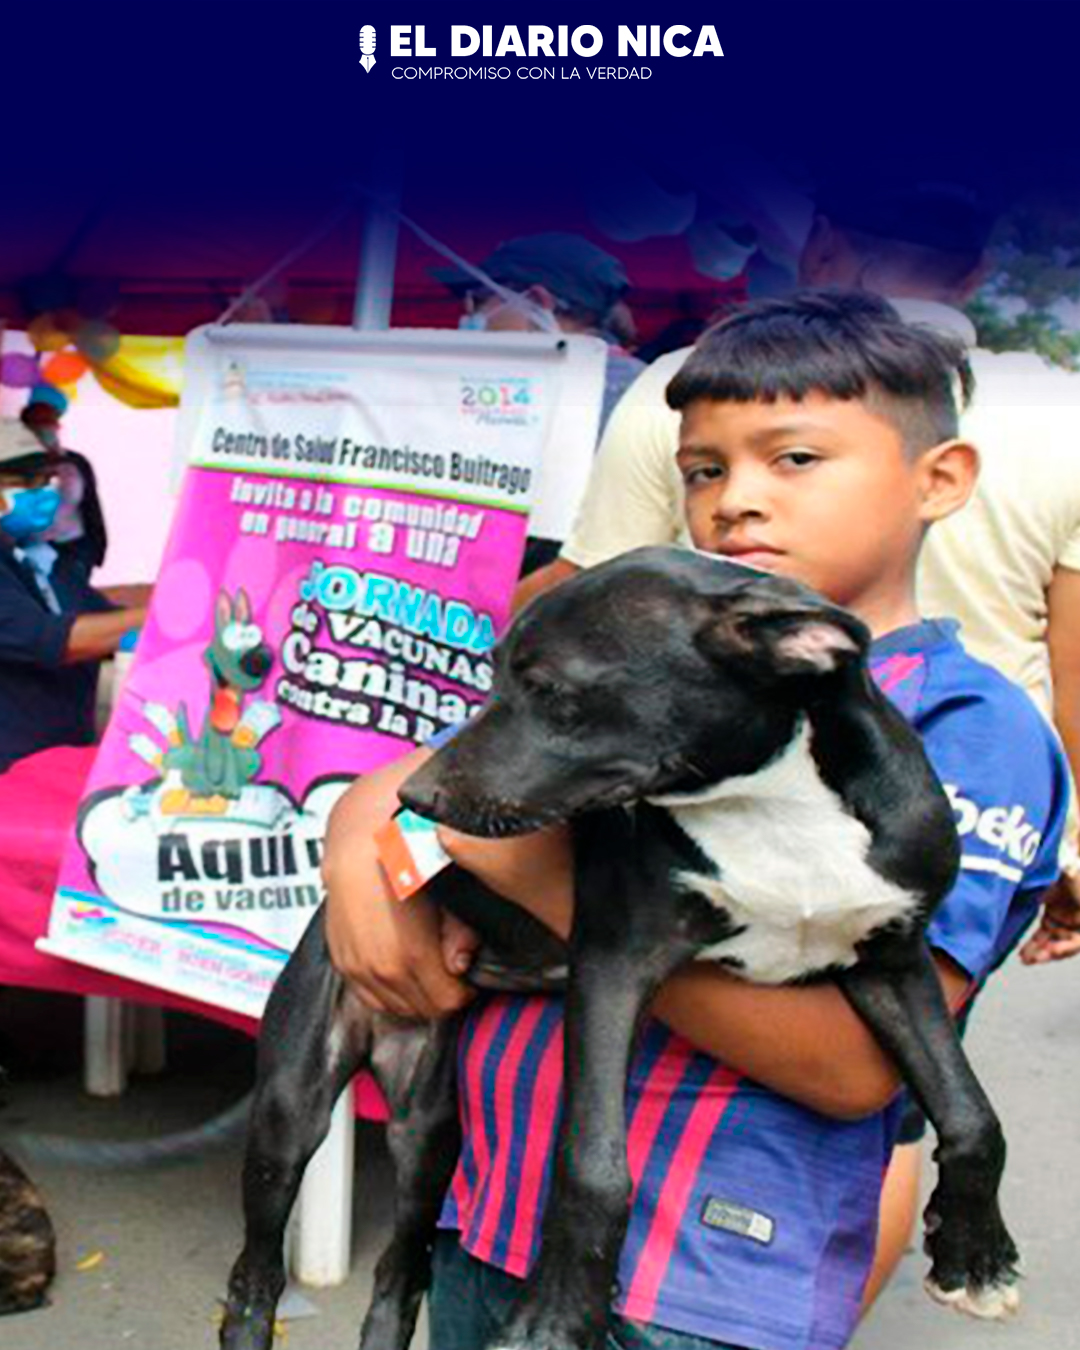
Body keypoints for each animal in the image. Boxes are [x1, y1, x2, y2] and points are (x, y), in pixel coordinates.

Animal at [221, 545, 1020, 1350]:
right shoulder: (614, 964)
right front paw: (555, 1317)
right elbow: (593, 1164)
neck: (777, 808)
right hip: (291, 1107)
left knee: (399, 1268)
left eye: (548, 688)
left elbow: (971, 1110)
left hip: (427, 1127)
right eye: (492, 673)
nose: (412, 801)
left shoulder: (894, 958)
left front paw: (975, 1254)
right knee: (256, 1269)